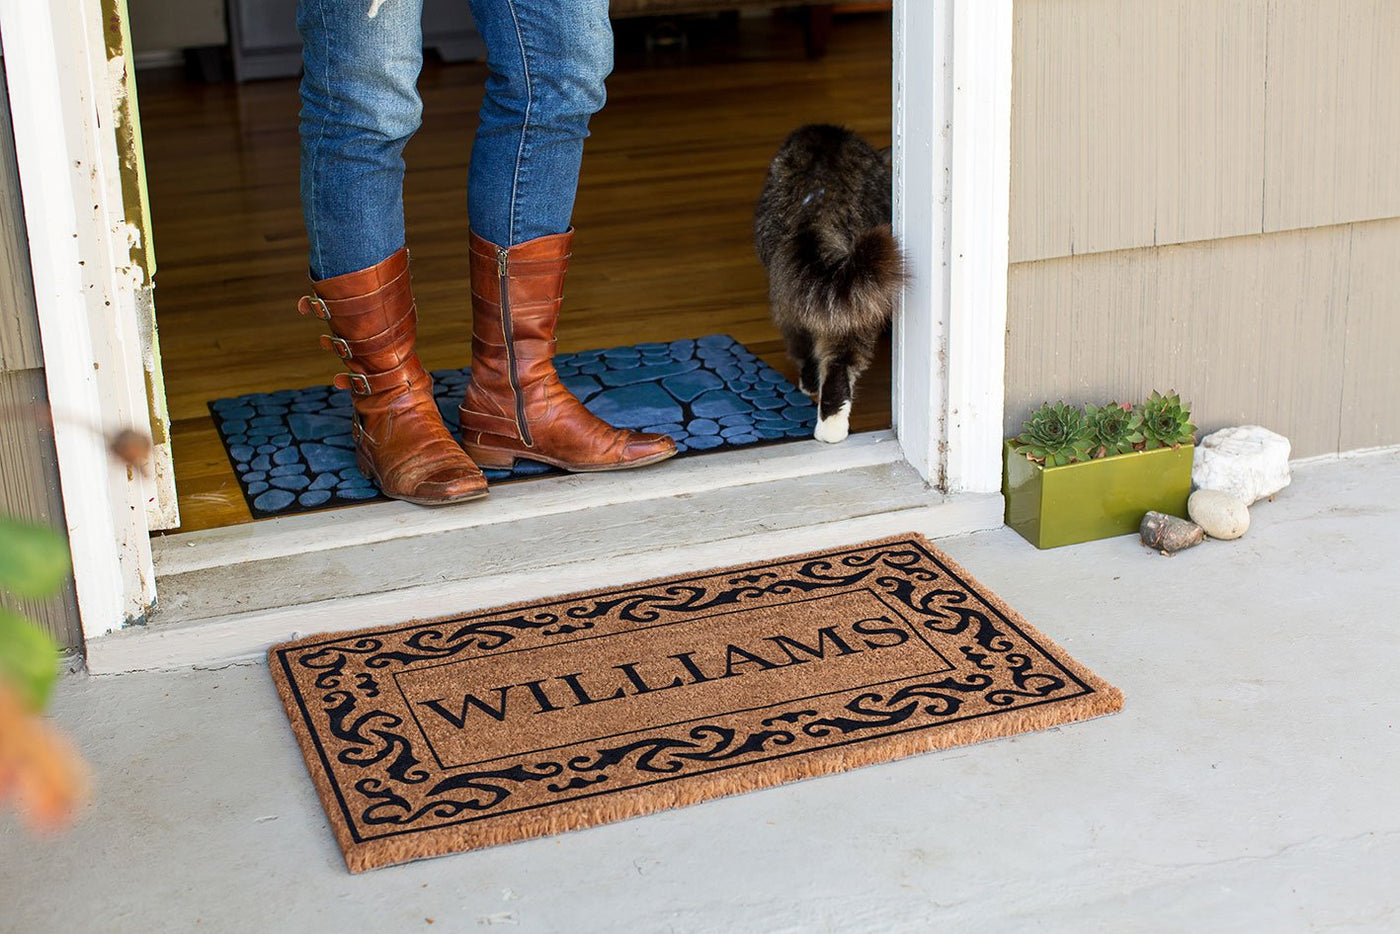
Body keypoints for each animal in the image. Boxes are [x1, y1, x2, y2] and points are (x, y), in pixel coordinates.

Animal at [756, 123, 907, 442]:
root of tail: (819, 213)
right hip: (850, 303)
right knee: (841, 361)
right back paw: (832, 428)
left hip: (788, 302)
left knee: (812, 348)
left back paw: (815, 393)